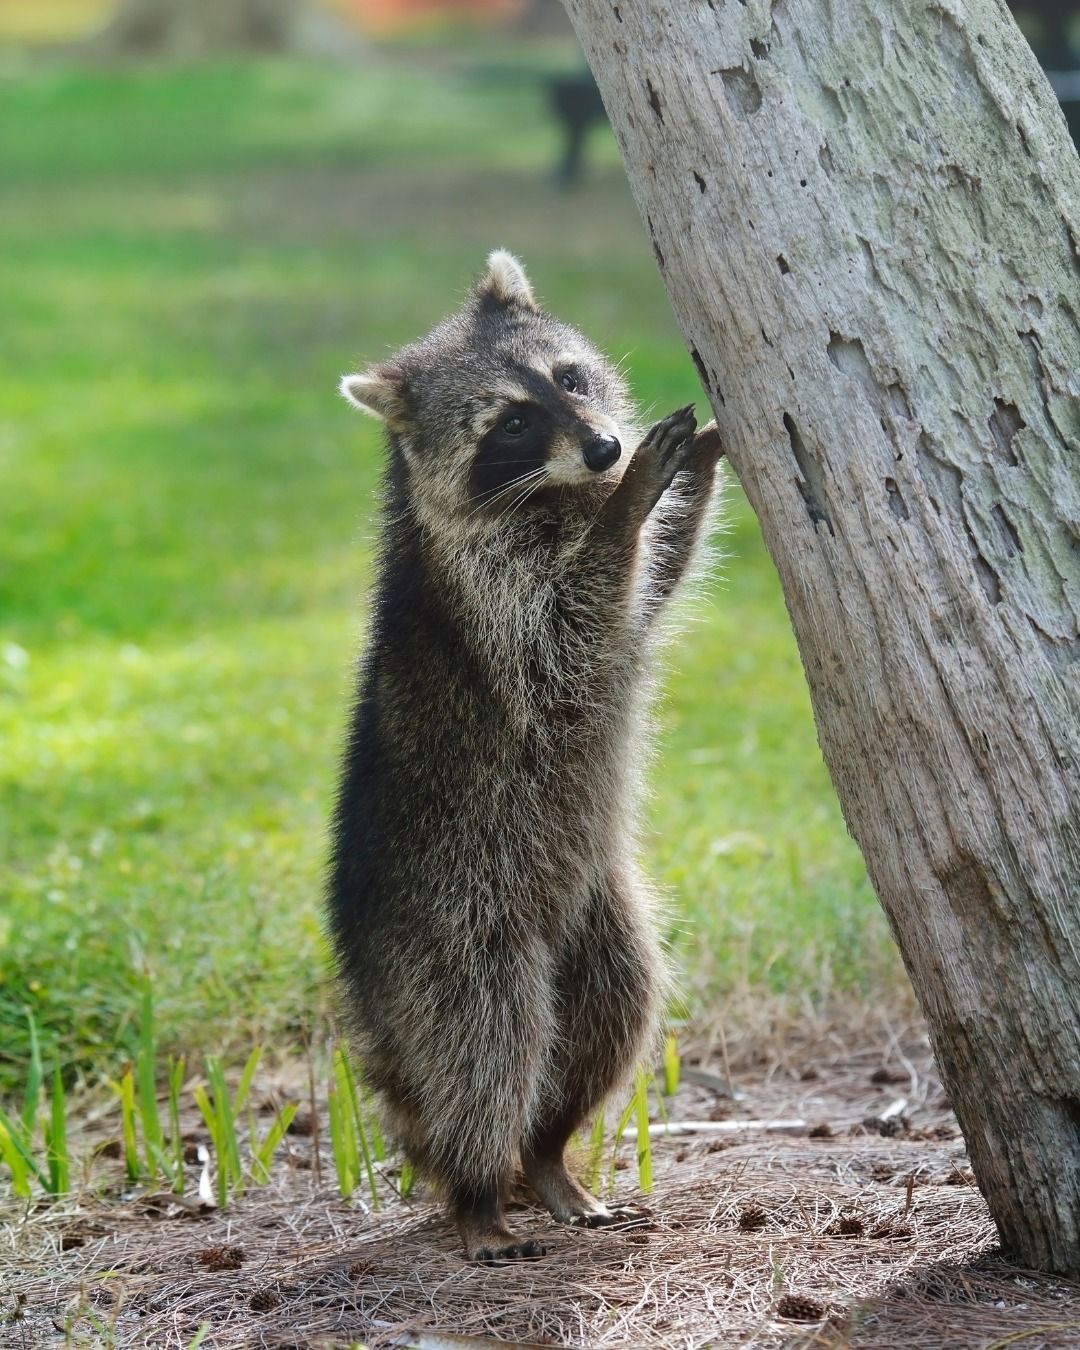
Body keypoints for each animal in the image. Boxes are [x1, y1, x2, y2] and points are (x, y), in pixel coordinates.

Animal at [328, 251, 723, 1262]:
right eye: (511, 421)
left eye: (570, 378)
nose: (607, 451)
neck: (552, 493)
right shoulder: (490, 591)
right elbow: (569, 636)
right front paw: (630, 507)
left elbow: (650, 587)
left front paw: (699, 457)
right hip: (454, 926)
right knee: (485, 1045)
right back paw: (478, 1187)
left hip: (597, 922)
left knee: (611, 1015)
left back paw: (547, 1152)